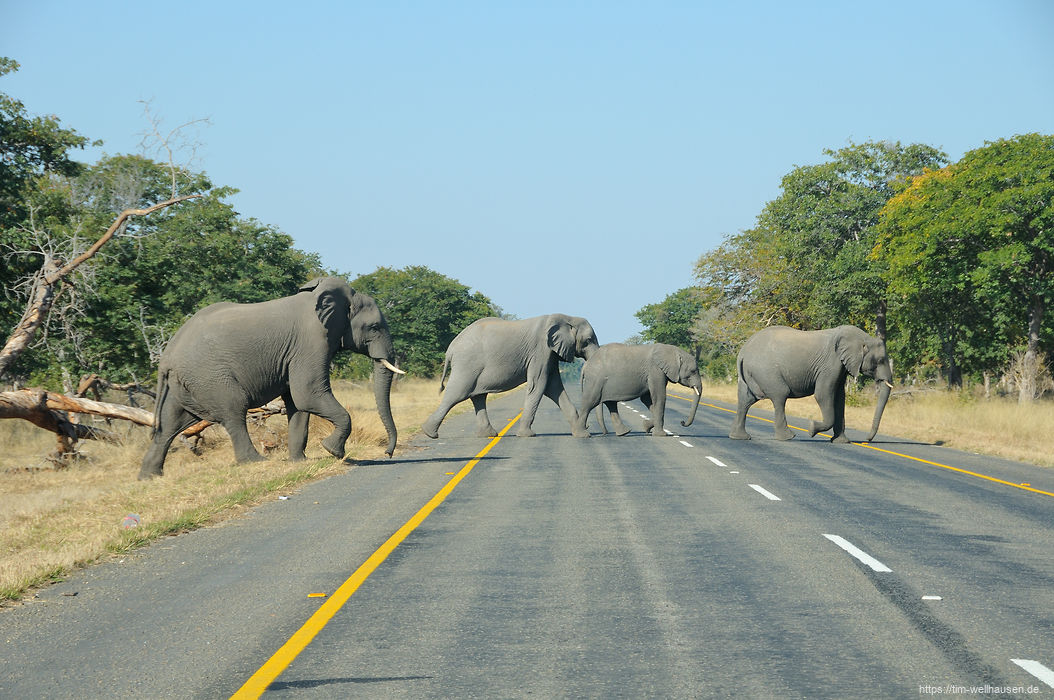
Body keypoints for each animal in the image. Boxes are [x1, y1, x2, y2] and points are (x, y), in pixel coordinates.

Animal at [140, 276, 402, 478]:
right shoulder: (312, 341)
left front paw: (299, 462)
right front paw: (333, 451)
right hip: (210, 377)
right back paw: (256, 462)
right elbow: (307, 394)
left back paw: (150, 477)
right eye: (374, 327)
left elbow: (297, 403)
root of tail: (166, 358)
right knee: (234, 411)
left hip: (186, 383)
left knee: (171, 424)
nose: (387, 453)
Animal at [419, 316, 602, 438]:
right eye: (588, 340)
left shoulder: (550, 354)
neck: (565, 317)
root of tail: (450, 349)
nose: (588, 427)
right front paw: (527, 435)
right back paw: (429, 433)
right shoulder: (540, 351)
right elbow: (539, 385)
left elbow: (554, 387)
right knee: (457, 394)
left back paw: (488, 435)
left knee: (478, 396)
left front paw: (582, 434)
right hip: (467, 364)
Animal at [573, 343, 704, 438]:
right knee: (589, 403)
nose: (682, 422)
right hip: (595, 380)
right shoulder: (655, 371)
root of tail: (586, 365)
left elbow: (647, 399)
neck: (672, 350)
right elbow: (659, 397)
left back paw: (624, 433)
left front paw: (646, 427)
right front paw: (661, 435)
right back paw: (582, 435)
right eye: (693, 371)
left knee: (611, 404)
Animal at [729, 324, 893, 442]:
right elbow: (823, 394)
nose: (867, 440)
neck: (863, 337)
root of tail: (742, 353)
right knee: (780, 396)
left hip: (751, 375)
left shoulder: (841, 367)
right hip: (766, 371)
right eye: (880, 361)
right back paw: (788, 437)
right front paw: (811, 428)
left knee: (746, 400)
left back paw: (739, 437)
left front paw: (841, 442)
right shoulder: (830, 365)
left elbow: (840, 398)